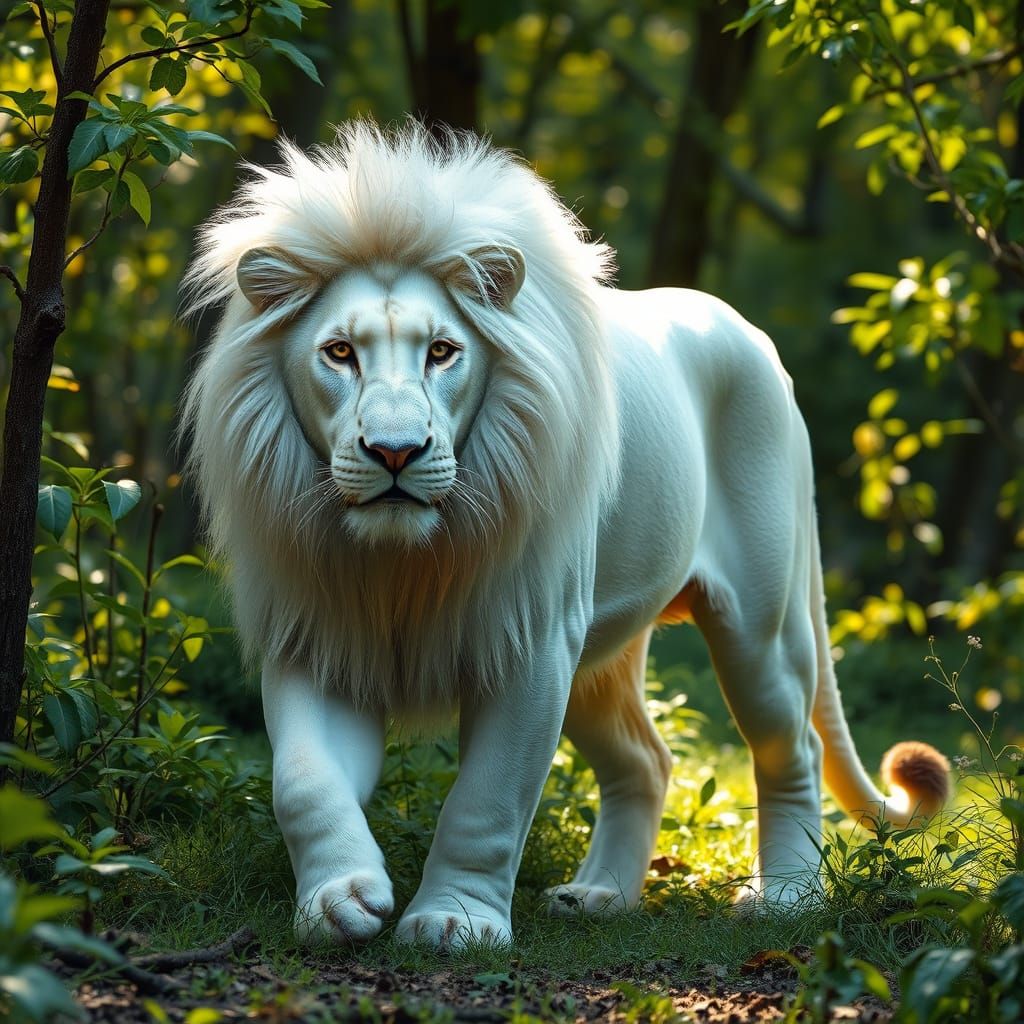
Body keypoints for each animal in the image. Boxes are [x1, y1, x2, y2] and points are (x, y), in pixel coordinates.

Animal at [181, 121, 949, 950]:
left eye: (442, 351)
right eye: (340, 353)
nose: (395, 452)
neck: (401, 560)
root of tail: (753, 337)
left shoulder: (530, 638)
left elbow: (487, 800)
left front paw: (454, 920)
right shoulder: (315, 630)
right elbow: (303, 780)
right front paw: (339, 899)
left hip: (758, 624)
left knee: (792, 745)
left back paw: (787, 898)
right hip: (600, 654)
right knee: (646, 760)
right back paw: (601, 896)